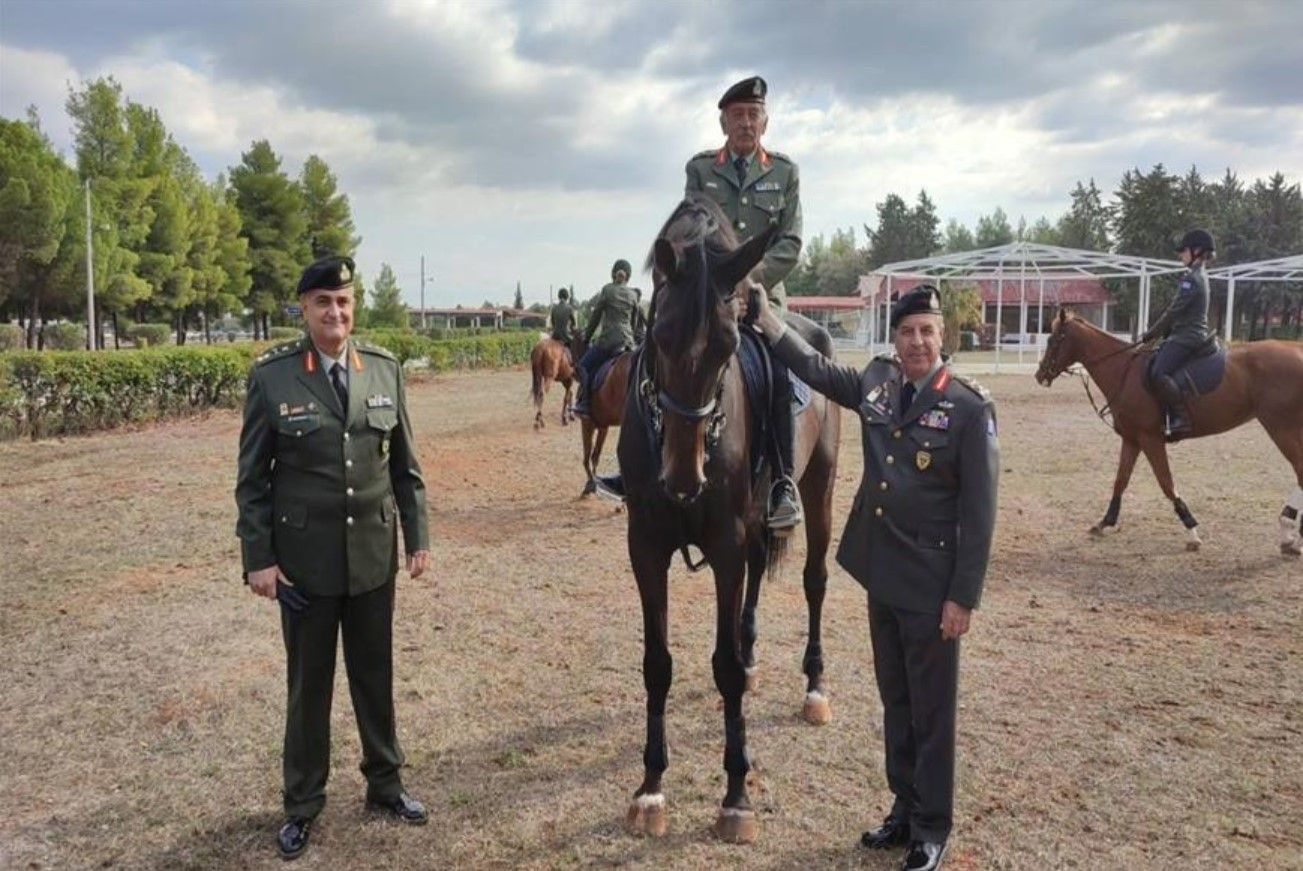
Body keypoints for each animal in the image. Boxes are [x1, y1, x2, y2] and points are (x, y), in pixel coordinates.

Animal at [620, 199, 844, 844]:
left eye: (727, 345)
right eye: (659, 335)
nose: (683, 475)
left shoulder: (722, 543)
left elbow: (719, 666)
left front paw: (736, 794)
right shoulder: (645, 547)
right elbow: (657, 663)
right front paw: (650, 788)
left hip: (818, 489)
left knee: (814, 581)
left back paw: (813, 688)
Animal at [1037, 309, 1303, 555]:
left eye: (1053, 339)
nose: (1040, 375)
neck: (1123, 370)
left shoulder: (1150, 439)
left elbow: (1166, 482)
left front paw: (1192, 531)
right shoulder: (1132, 439)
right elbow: (1121, 480)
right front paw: (1105, 522)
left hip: (1281, 428)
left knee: (1300, 471)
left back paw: (1291, 534)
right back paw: (1290, 533)